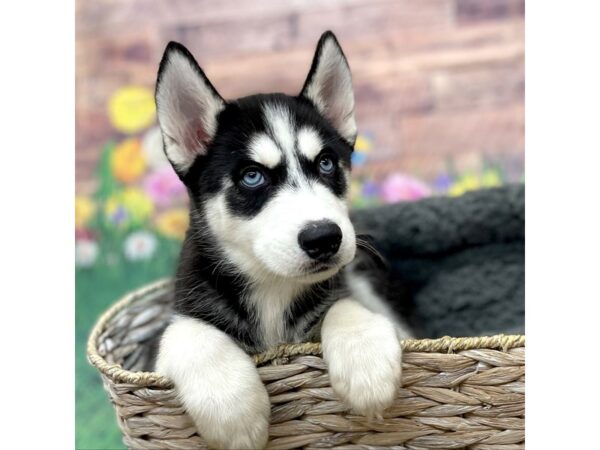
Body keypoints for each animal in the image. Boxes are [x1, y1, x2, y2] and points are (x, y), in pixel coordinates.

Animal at [154, 29, 412, 448]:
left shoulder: (347, 291)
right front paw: (231, 408)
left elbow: (345, 304)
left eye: (326, 163)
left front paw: (364, 360)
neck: (273, 288)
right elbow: (186, 332)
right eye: (252, 176)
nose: (324, 237)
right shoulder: (180, 320)